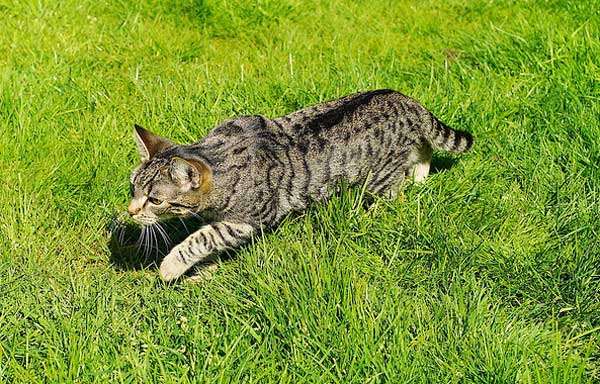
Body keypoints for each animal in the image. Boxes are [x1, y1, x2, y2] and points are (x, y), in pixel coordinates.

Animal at [127, 90, 474, 282]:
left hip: (380, 178)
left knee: (396, 192)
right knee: (424, 149)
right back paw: (421, 176)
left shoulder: (249, 219)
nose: (130, 212)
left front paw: (171, 266)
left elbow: (200, 239)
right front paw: (205, 269)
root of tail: (406, 100)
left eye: (154, 200)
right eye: (132, 188)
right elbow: (209, 244)